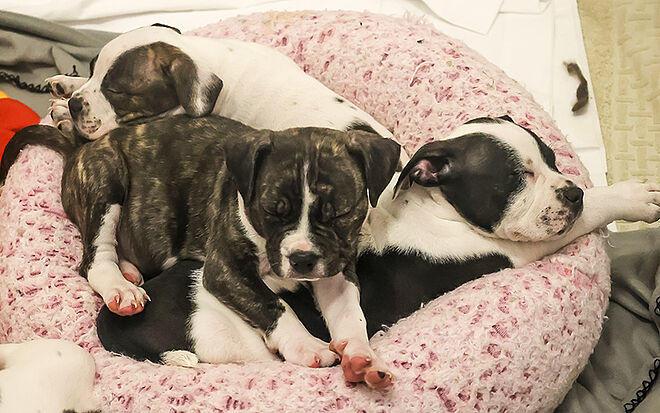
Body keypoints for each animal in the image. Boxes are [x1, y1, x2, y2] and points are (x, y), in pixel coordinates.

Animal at [1, 116, 400, 389]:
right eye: (272, 211)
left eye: (340, 214)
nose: (302, 259)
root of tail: (80, 149)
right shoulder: (224, 270)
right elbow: (273, 305)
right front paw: (305, 345)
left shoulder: (336, 268)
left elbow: (352, 314)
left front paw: (363, 357)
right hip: (106, 180)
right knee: (94, 260)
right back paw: (121, 289)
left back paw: (129, 272)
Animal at [95, 115, 660, 362]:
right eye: (518, 179)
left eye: (551, 158)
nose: (569, 191)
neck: (433, 203)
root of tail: (112, 318)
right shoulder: (517, 247)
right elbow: (588, 214)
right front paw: (630, 197)